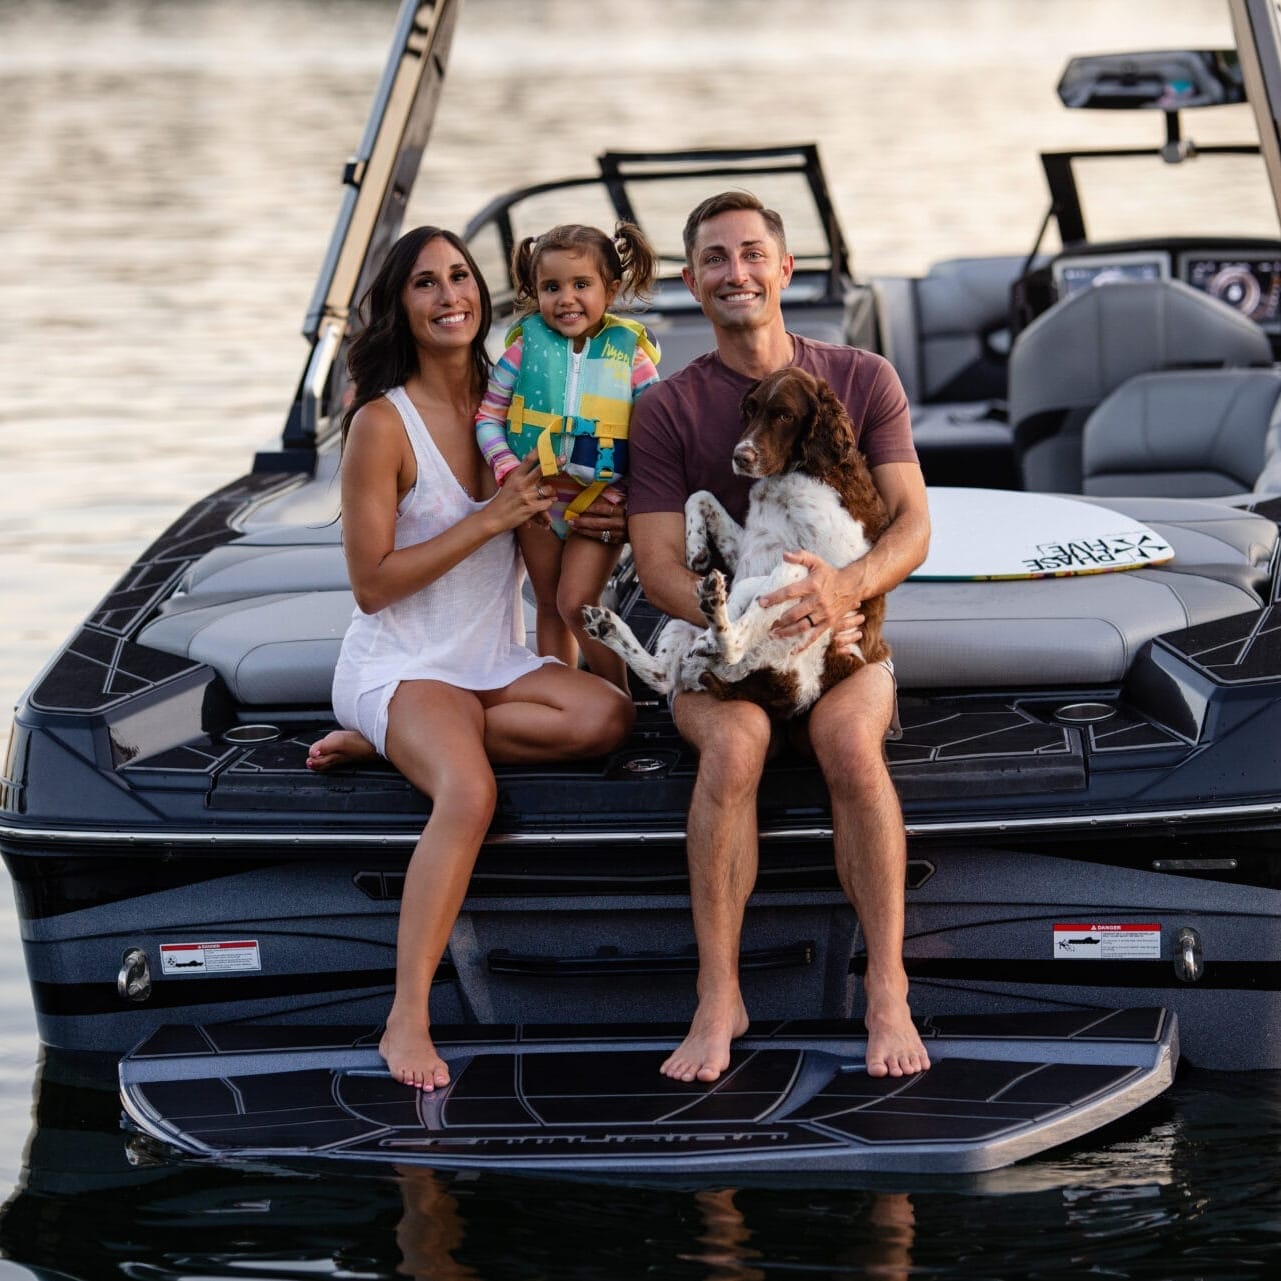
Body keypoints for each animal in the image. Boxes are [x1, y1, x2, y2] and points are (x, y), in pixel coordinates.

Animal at [584, 368, 891, 722]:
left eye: (784, 415)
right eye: (750, 410)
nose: (740, 457)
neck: (793, 473)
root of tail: (789, 695)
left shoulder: (837, 558)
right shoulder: (748, 543)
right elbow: (700, 496)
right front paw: (696, 549)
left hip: (798, 583)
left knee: (735, 641)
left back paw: (711, 615)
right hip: (684, 621)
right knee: (665, 675)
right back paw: (612, 626)